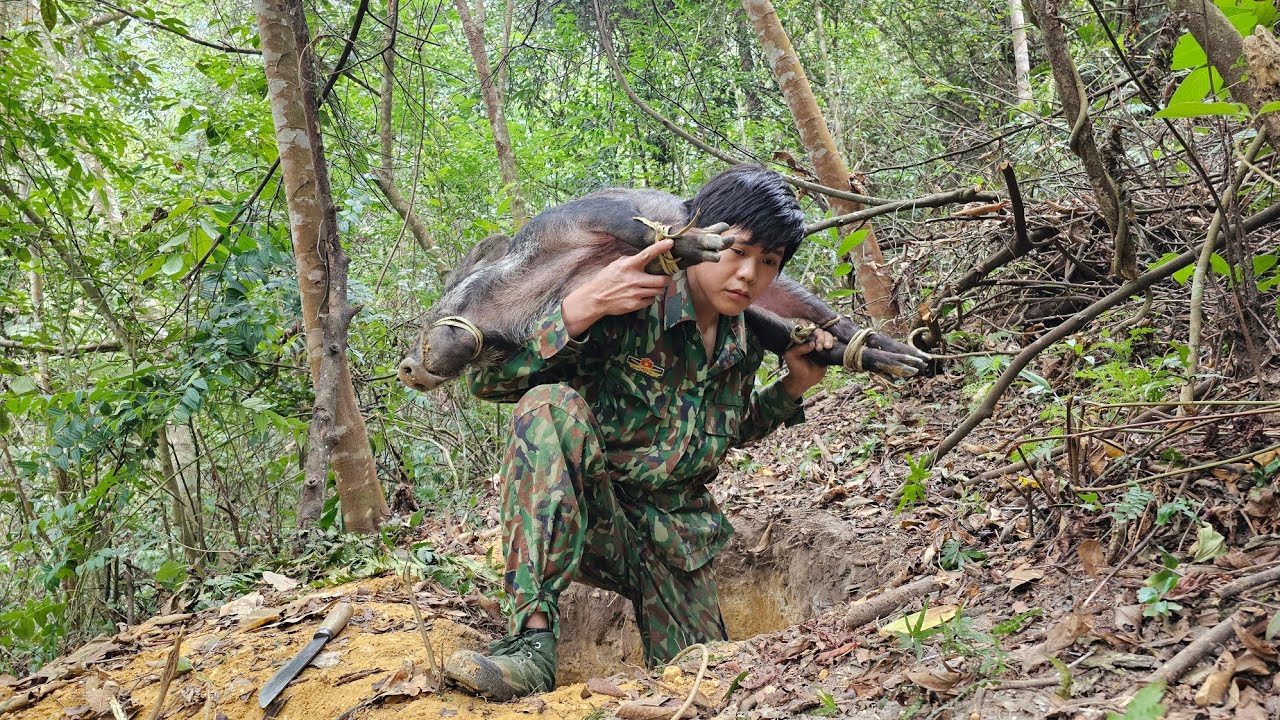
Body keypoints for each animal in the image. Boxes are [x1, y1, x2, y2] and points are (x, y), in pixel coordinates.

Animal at [398, 185, 929, 393]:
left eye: (451, 289)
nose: (405, 367)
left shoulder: (587, 215)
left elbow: (640, 230)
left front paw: (706, 242)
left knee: (820, 318)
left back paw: (911, 357)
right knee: (798, 333)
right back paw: (906, 364)